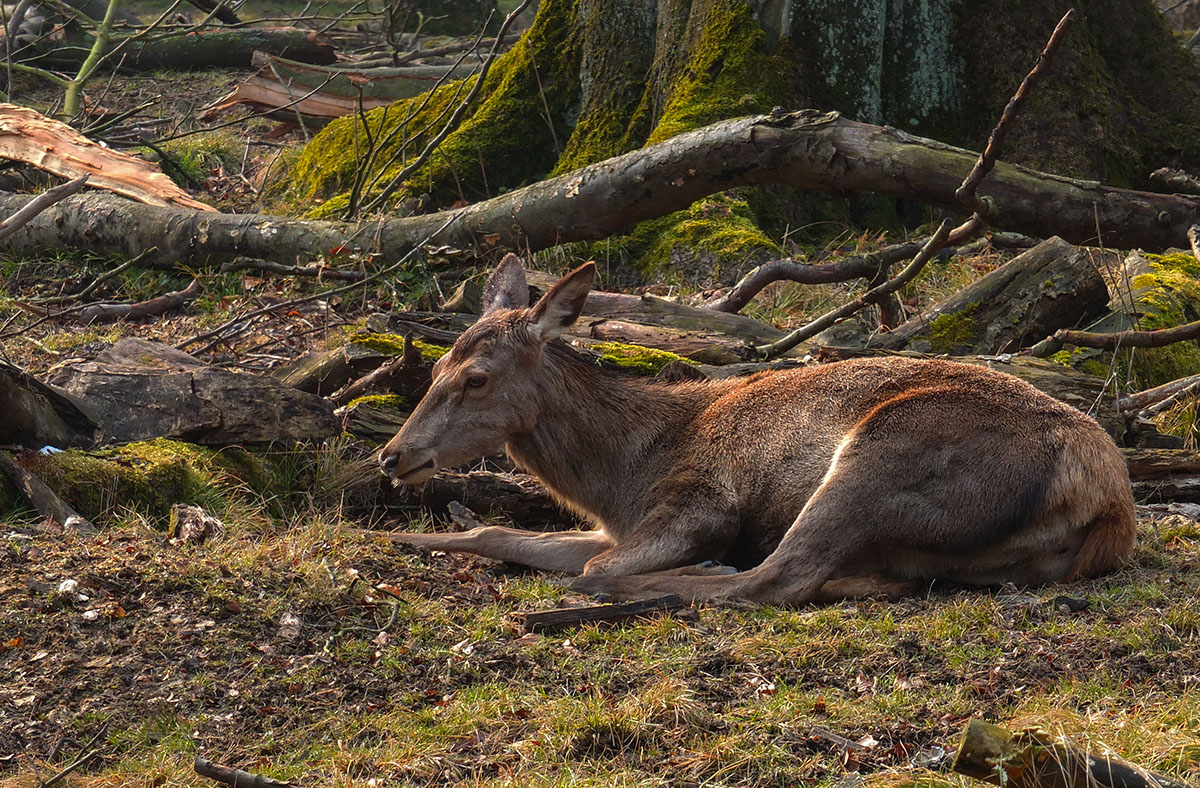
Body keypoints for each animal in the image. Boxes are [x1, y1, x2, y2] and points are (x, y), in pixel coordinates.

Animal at [379, 255, 1137, 604]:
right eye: (437, 361)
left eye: (477, 378)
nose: (392, 455)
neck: (621, 478)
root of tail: (1110, 500)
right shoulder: (617, 524)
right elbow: (496, 533)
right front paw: (398, 537)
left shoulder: (697, 500)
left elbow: (596, 566)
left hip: (884, 452)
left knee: (773, 578)